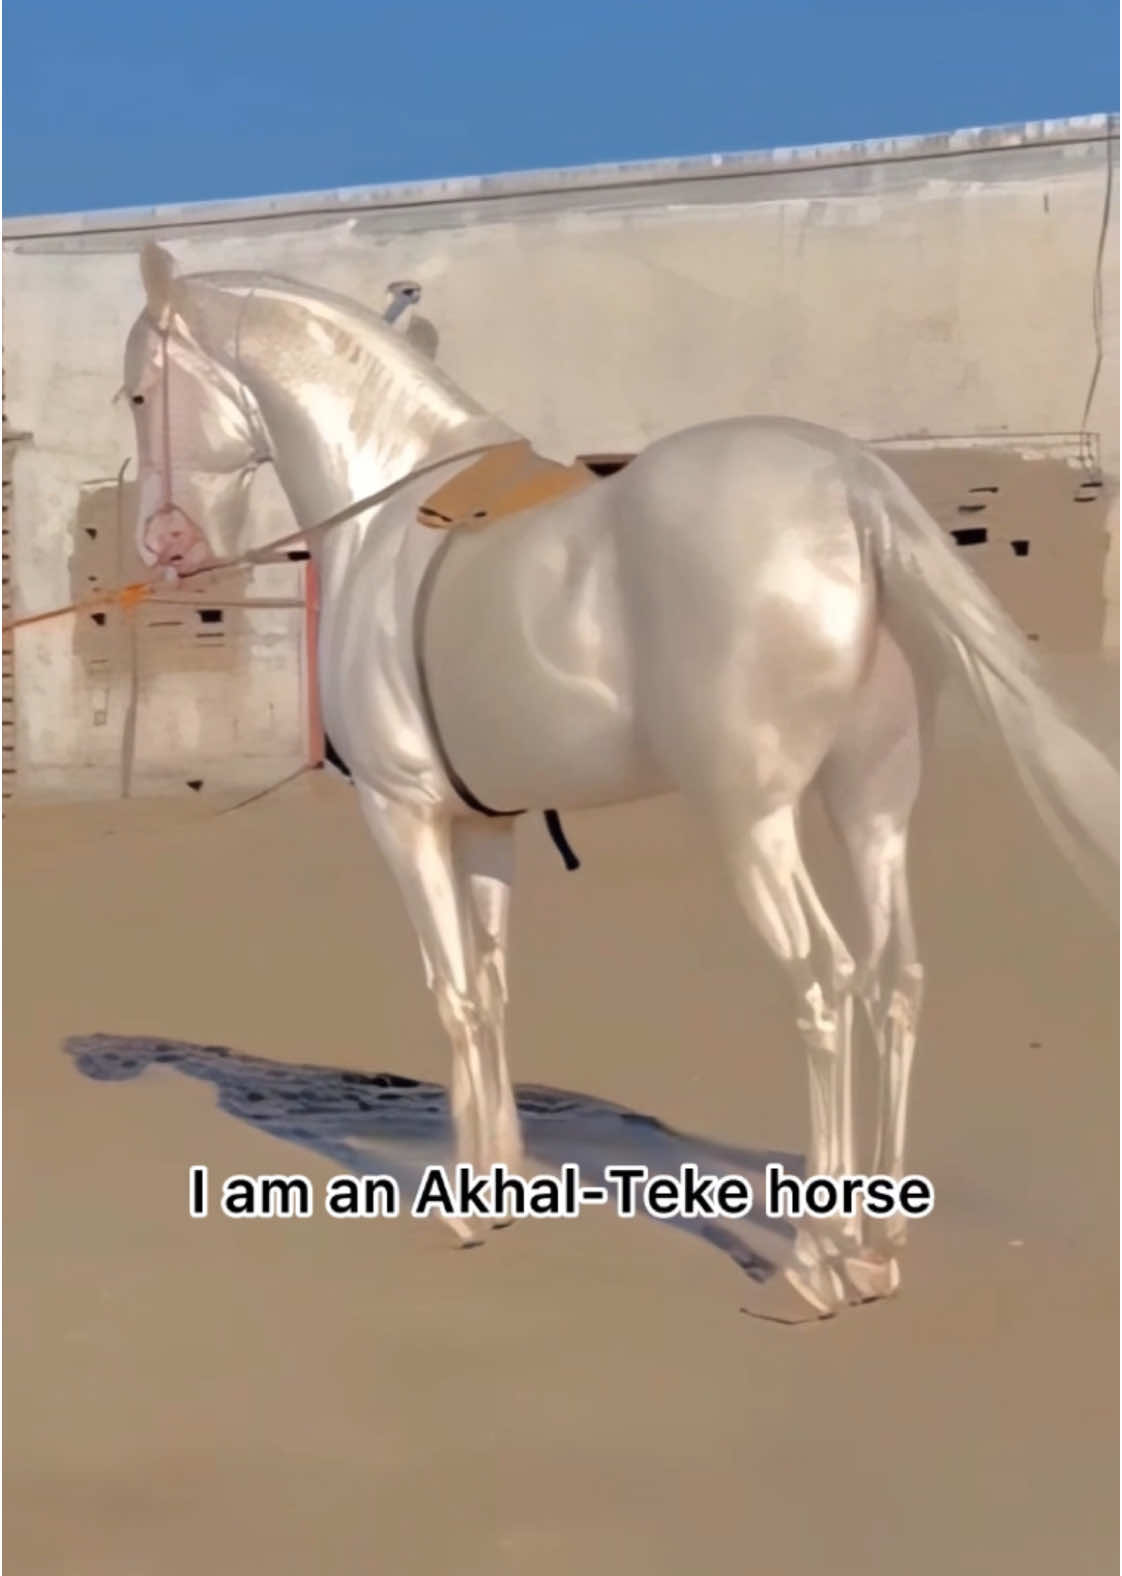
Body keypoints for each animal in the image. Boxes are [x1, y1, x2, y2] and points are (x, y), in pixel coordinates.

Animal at [123, 241, 1117, 1316]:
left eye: (139, 392)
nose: (164, 547)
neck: (385, 514)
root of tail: (850, 489)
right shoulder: (487, 825)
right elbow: (493, 986)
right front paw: (501, 1182)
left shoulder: (403, 815)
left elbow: (453, 993)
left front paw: (464, 1210)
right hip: (872, 805)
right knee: (896, 982)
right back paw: (879, 1246)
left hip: (754, 821)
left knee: (825, 983)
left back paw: (816, 1263)